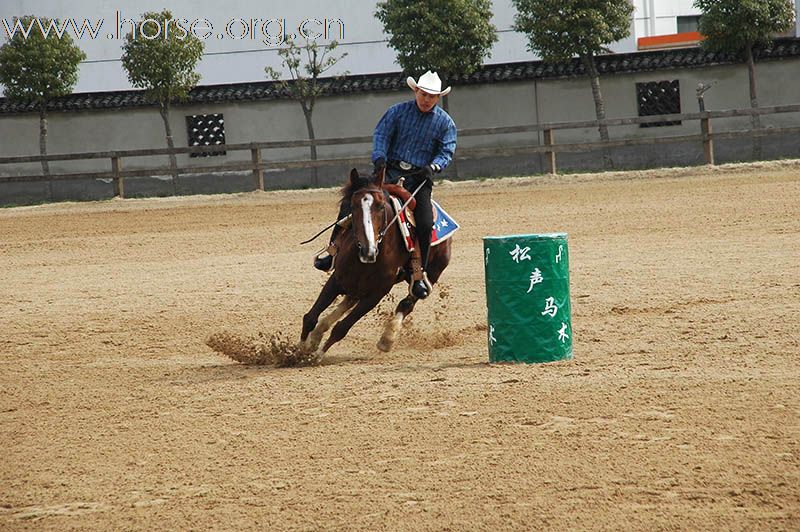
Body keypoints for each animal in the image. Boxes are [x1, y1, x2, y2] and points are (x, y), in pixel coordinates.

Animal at [300, 167, 454, 358]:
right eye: (352, 206)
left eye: (380, 206)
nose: (368, 251)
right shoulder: (336, 280)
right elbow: (310, 317)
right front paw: (300, 350)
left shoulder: (376, 294)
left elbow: (341, 328)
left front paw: (315, 356)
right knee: (349, 300)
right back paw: (317, 334)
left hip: (432, 273)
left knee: (407, 303)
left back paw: (387, 339)